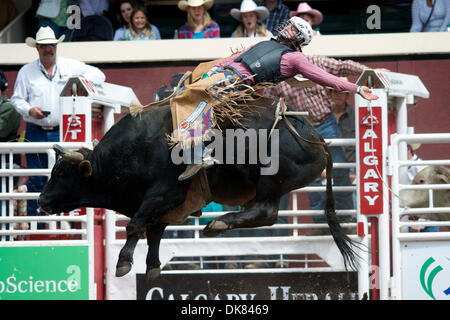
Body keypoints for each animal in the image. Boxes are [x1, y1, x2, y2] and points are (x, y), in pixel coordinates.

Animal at [39, 95, 358, 280]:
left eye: (61, 173)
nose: (41, 200)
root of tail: (319, 141)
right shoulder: (163, 205)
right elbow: (153, 233)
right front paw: (152, 266)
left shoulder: (163, 194)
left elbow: (136, 226)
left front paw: (124, 262)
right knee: (264, 213)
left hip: (272, 179)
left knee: (265, 211)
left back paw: (218, 223)